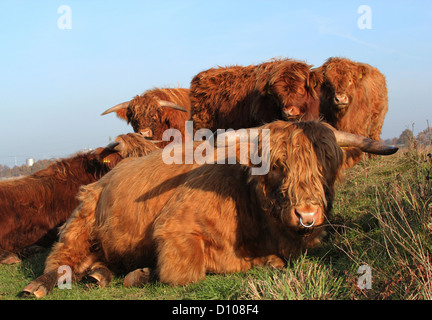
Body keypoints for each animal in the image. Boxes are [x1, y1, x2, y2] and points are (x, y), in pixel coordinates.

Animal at [21, 120, 398, 298]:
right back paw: (39, 285)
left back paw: (99, 274)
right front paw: (144, 274)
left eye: (327, 166)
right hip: (80, 220)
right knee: (59, 260)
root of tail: (104, 177)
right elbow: (193, 270)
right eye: (277, 166)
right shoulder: (175, 230)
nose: (308, 215)